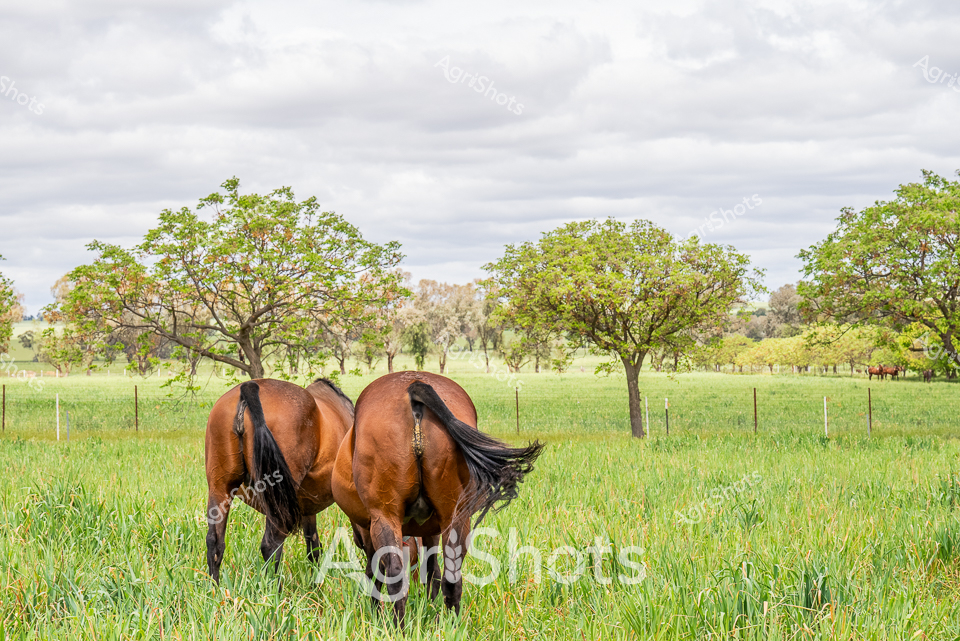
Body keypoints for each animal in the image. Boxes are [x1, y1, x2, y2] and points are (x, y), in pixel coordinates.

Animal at [204, 378, 355, 583]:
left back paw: (216, 587)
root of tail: (249, 387)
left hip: (220, 488)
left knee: (215, 543)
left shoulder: (307, 508)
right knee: (271, 545)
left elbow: (313, 546)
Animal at [332, 371, 545, 626]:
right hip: (455, 518)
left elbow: (376, 573)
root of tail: (414, 386)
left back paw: (397, 628)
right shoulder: (432, 530)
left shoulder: (371, 530)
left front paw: (374, 611)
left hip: (385, 516)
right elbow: (432, 570)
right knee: (452, 579)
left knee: (394, 576)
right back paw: (452, 626)